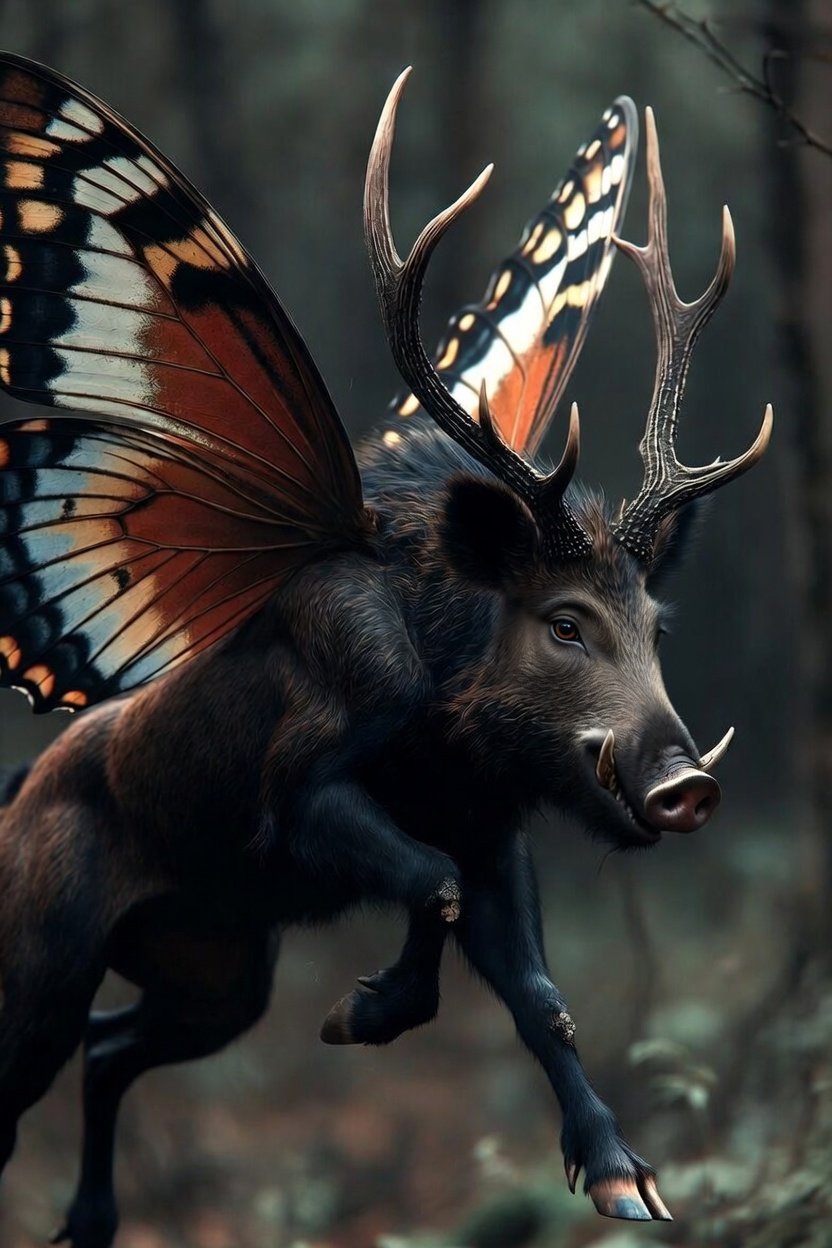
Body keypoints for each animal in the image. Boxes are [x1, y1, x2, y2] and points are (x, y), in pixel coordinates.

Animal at [0, 52, 771, 1248]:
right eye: (563, 621)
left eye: (656, 625)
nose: (685, 782)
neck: (448, 745)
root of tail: (17, 793)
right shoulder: (304, 786)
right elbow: (429, 882)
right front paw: (364, 1009)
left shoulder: (493, 828)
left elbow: (539, 994)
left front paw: (622, 1175)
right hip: (45, 950)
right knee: (27, 1072)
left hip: (217, 967)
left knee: (113, 1044)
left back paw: (88, 1220)